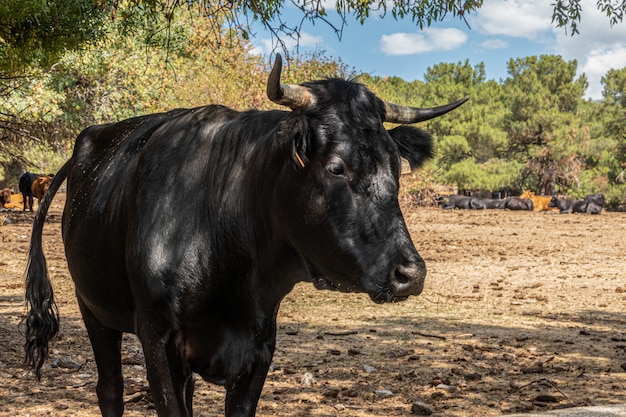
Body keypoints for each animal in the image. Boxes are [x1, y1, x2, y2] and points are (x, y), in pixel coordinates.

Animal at [24, 53, 466, 414]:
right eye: (336, 167)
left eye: (395, 167)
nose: (410, 274)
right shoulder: (158, 341)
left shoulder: (259, 350)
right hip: (93, 307)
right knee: (110, 391)